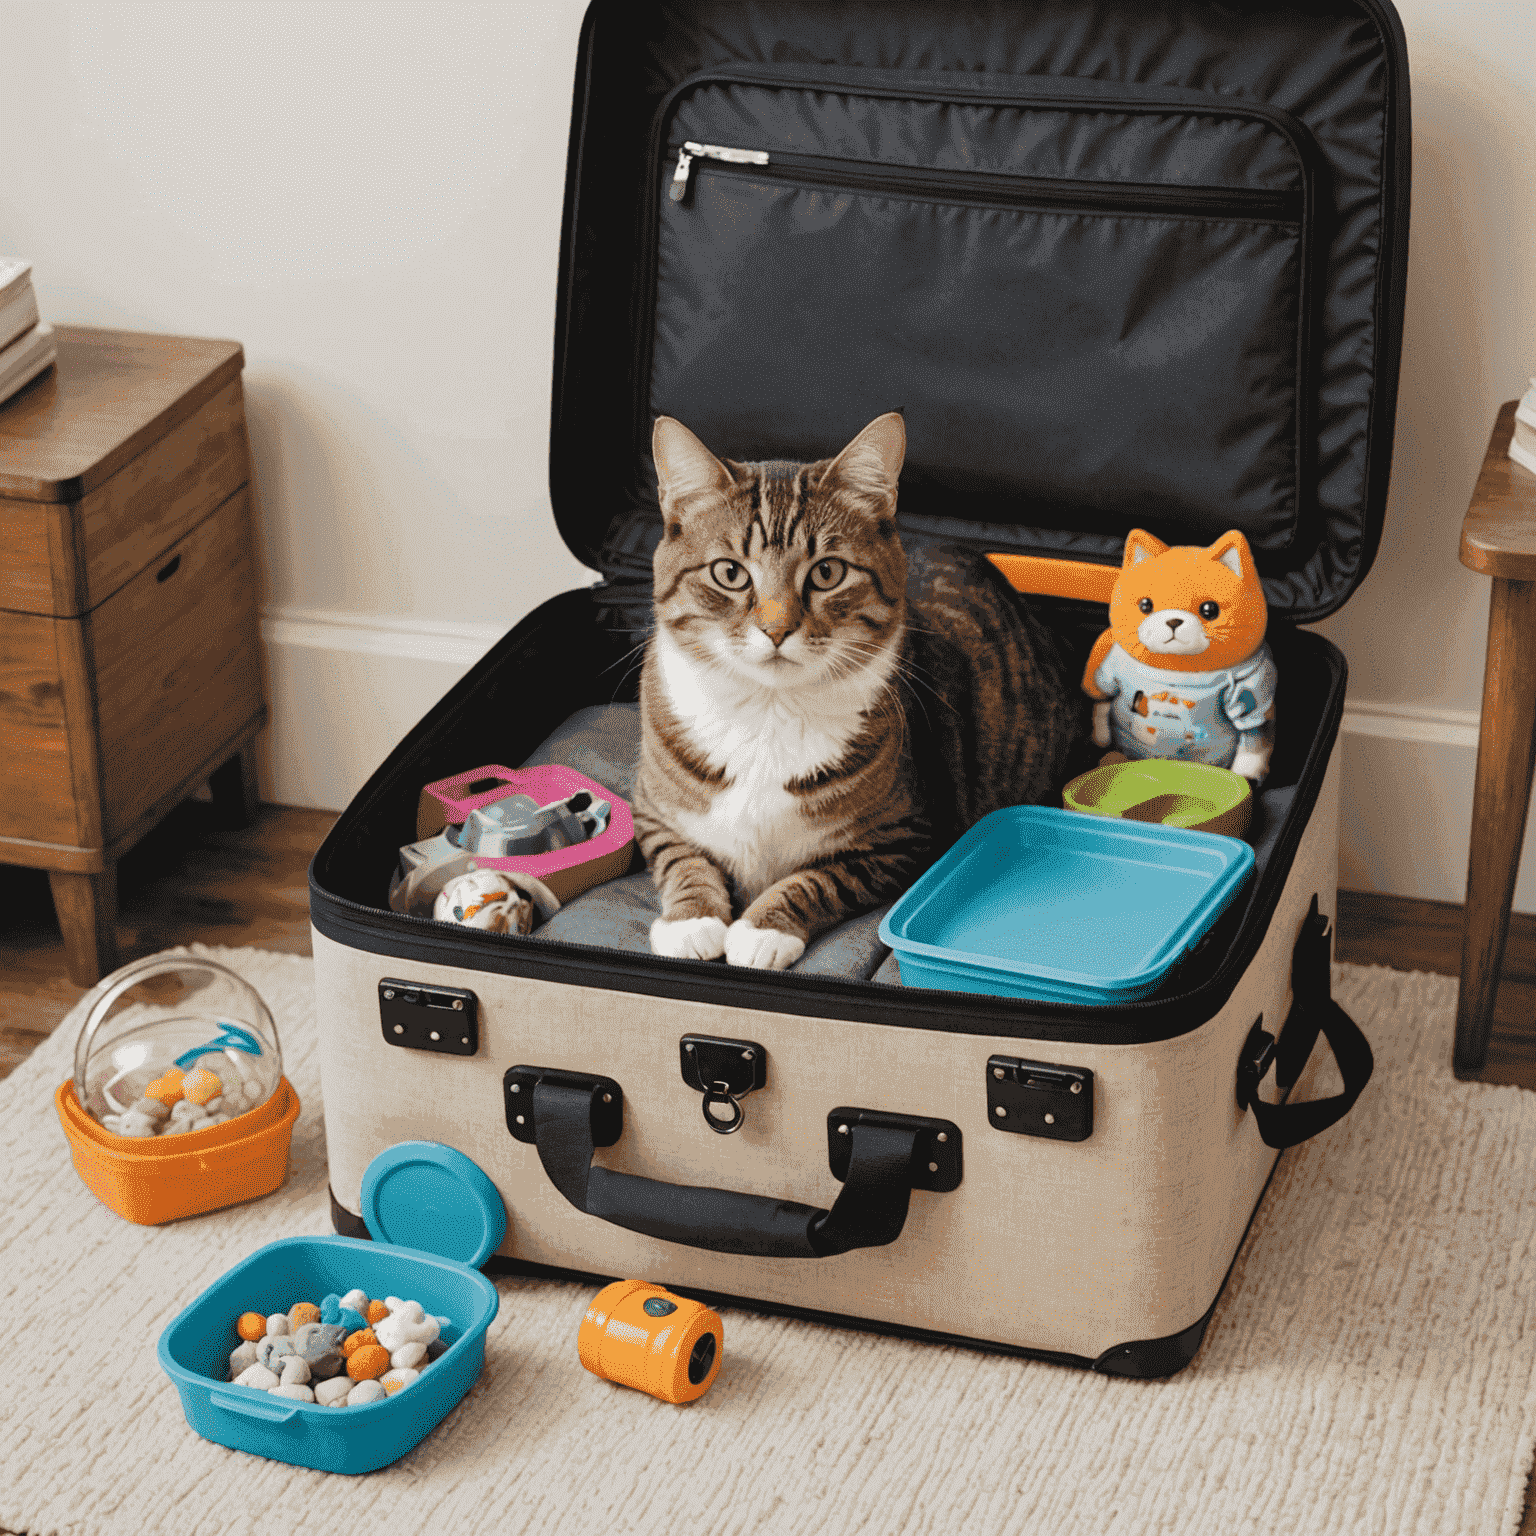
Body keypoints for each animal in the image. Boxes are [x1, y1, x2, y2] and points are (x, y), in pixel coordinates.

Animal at [632, 414, 1081, 964]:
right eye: (729, 573)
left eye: (827, 571)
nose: (777, 629)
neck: (769, 709)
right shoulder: (649, 809)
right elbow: (680, 858)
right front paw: (691, 920)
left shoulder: (906, 838)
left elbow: (821, 879)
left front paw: (763, 929)